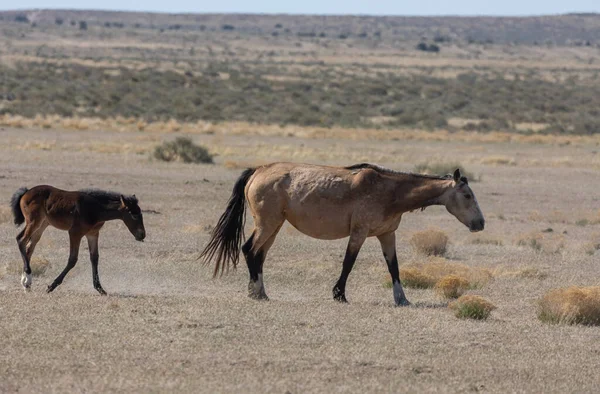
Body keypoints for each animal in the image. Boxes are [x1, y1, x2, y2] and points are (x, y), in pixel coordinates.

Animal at [10, 186, 146, 294]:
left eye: (140, 213)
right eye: (133, 214)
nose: (142, 235)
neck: (95, 208)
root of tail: (26, 192)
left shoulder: (93, 234)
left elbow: (94, 258)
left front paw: (100, 288)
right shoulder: (75, 233)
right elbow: (72, 259)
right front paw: (51, 286)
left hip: (42, 225)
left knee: (29, 247)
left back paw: (26, 284)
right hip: (34, 222)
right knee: (21, 240)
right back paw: (28, 278)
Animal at [200, 162, 482, 306]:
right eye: (467, 195)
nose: (480, 223)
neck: (390, 191)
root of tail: (258, 170)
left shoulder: (387, 235)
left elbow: (394, 267)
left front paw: (402, 299)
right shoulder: (359, 233)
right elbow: (349, 262)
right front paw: (339, 294)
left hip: (274, 226)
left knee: (259, 255)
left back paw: (260, 292)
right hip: (268, 224)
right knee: (250, 250)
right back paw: (256, 292)